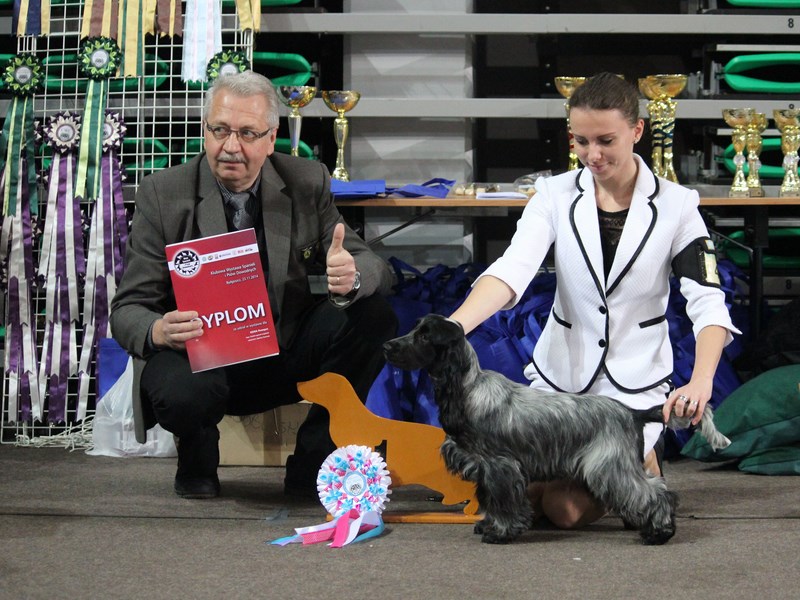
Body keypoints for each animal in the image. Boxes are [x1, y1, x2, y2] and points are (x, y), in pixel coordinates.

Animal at [383, 314, 731, 545]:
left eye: (424, 337)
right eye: (414, 330)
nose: (387, 345)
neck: (467, 390)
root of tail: (631, 413)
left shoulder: (500, 466)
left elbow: (503, 501)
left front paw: (500, 532)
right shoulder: (484, 468)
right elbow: (489, 499)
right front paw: (488, 526)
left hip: (608, 467)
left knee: (654, 493)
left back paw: (658, 532)